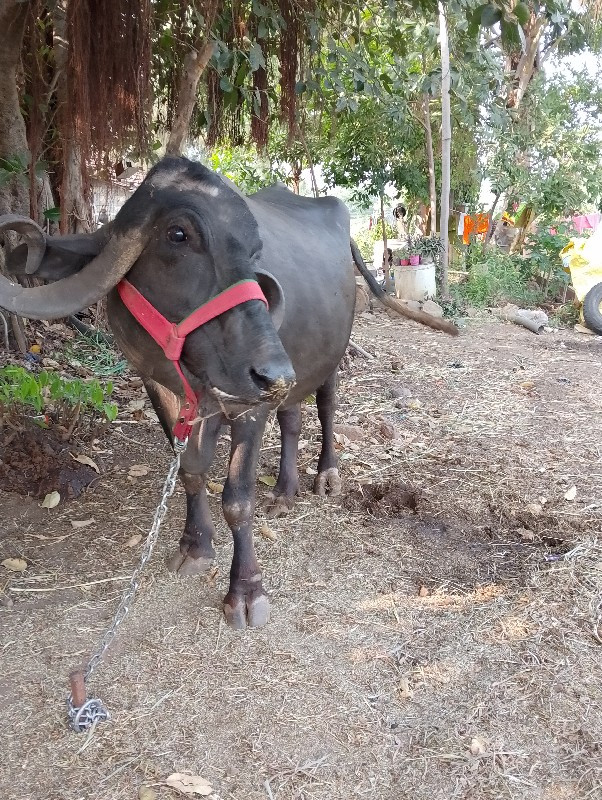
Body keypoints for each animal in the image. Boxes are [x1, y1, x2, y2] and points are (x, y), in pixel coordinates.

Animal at [0, 158, 452, 632]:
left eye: (254, 253)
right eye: (178, 234)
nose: (272, 373)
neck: (192, 374)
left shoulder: (247, 406)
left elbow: (237, 499)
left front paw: (246, 591)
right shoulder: (161, 389)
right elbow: (190, 472)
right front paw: (195, 546)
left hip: (331, 354)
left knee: (326, 406)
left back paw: (326, 475)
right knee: (291, 417)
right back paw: (284, 492)